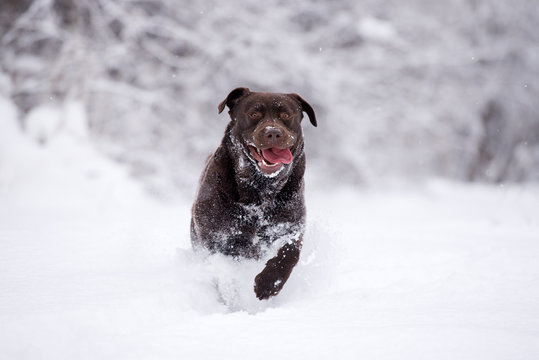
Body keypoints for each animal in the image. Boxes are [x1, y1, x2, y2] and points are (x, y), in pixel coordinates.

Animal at [190, 88, 316, 300]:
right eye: (254, 114)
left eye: (286, 115)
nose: (273, 132)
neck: (260, 190)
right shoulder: (215, 238)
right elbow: (225, 272)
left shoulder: (291, 226)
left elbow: (289, 254)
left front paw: (268, 284)